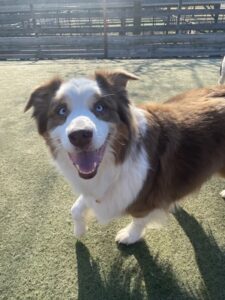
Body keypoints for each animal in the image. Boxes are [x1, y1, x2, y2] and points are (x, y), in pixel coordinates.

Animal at [25, 71, 225, 246]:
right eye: (61, 111)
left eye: (100, 107)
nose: (80, 135)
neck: (116, 161)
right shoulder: (99, 189)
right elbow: (76, 208)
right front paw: (79, 230)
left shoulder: (146, 198)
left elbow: (139, 219)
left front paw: (130, 236)